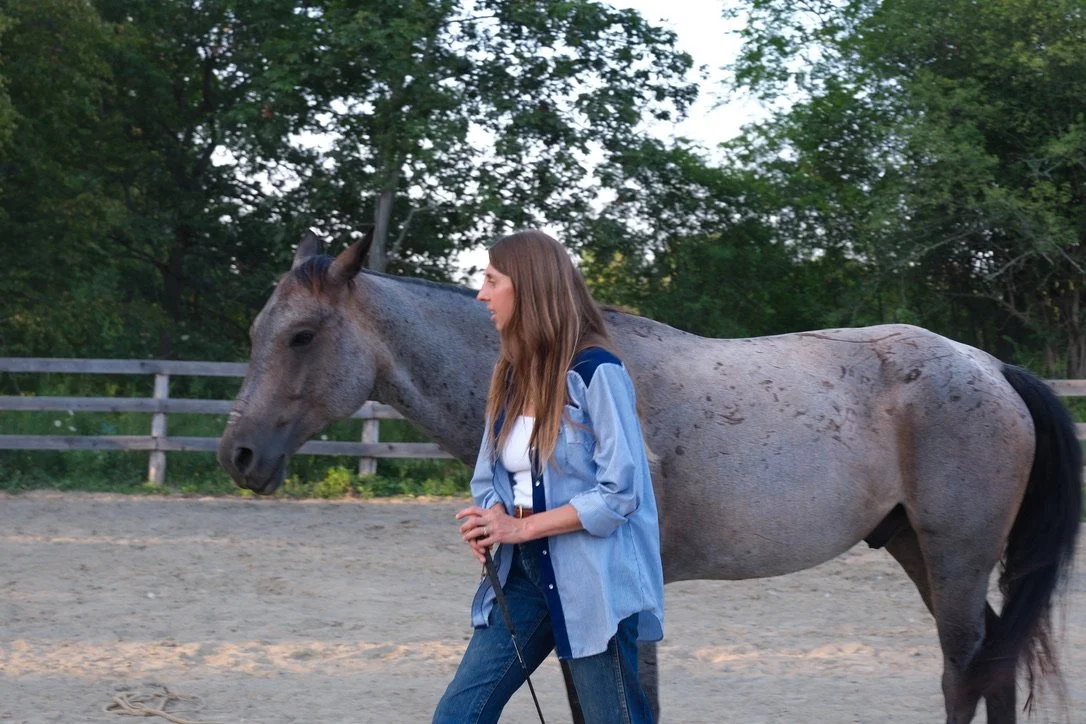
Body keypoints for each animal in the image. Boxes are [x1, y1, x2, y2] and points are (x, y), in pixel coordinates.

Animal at [218, 231, 1081, 723]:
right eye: (257, 331)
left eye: (301, 336)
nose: (238, 455)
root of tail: (990, 368)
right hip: (916, 550)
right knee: (991, 668)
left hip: (956, 556)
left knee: (966, 673)